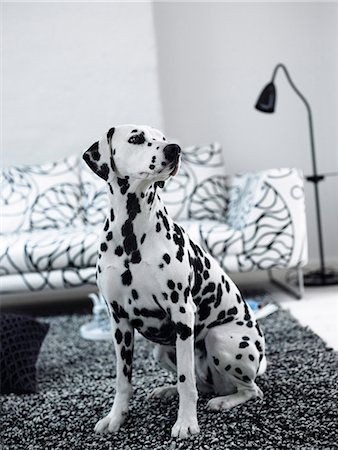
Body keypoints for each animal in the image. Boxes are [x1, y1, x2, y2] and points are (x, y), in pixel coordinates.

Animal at [82, 125, 266, 440]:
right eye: (135, 138)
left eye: (164, 138)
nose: (175, 149)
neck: (132, 236)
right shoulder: (119, 322)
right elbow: (122, 380)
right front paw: (116, 418)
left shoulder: (182, 313)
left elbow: (186, 380)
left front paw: (186, 422)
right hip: (162, 350)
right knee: (203, 384)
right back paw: (167, 391)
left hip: (220, 339)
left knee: (249, 390)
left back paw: (223, 401)